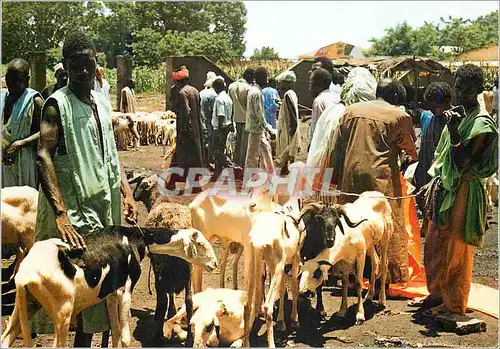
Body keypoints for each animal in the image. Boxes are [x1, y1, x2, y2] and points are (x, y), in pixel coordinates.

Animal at [1, 224, 217, 346]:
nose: (214, 264)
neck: (134, 237)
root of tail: (26, 273)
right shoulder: (125, 292)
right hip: (62, 313)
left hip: (26, 306)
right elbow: (125, 338)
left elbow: (115, 333)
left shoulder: (112, 295)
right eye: (201, 245)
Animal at [296, 190, 394, 324]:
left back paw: (382, 301)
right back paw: (369, 296)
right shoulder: (345, 260)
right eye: (319, 219)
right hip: (370, 244)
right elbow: (345, 282)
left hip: (385, 238)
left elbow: (358, 283)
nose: (302, 291)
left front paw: (359, 315)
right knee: (375, 263)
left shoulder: (361, 256)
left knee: (384, 265)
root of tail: (379, 194)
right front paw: (342, 311)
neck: (346, 237)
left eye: (316, 273)